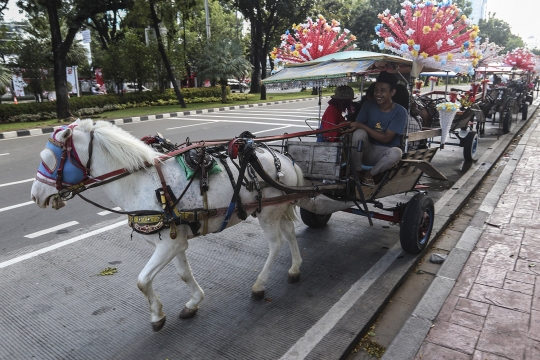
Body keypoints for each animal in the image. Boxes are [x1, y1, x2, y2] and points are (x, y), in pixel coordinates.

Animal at [31, 119, 306, 332]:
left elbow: (142, 280)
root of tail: (284, 159)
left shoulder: (169, 245)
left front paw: (157, 315)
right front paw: (193, 302)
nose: (35, 196)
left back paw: (260, 285)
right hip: (278, 208)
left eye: (49, 160)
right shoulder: (175, 242)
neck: (140, 180)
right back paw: (295, 268)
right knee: (290, 233)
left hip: (268, 213)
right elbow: (183, 274)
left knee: (276, 243)